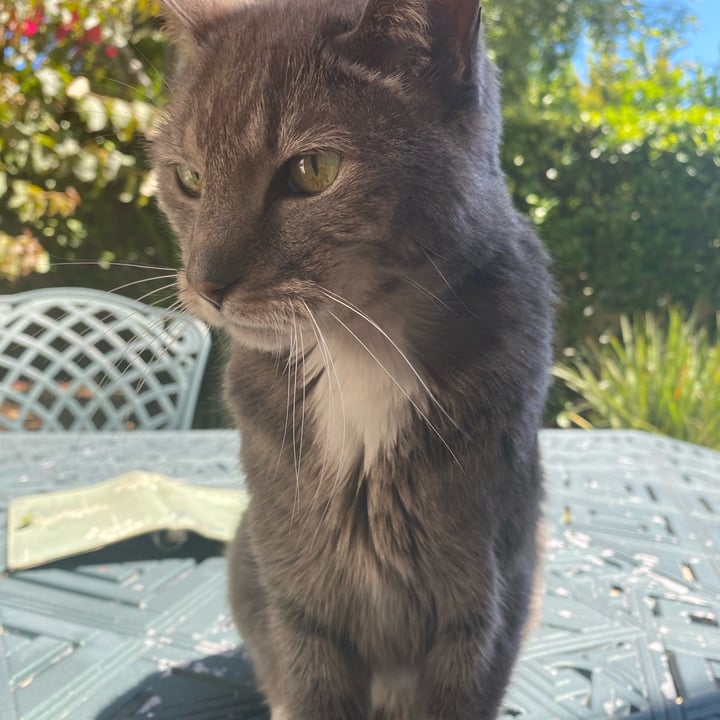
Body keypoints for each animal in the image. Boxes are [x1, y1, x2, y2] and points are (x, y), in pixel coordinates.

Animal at [153, 0, 554, 718]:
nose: (205, 282)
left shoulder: (485, 601)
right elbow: (310, 685)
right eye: (188, 178)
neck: (358, 350)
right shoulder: (298, 595)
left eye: (314, 169)